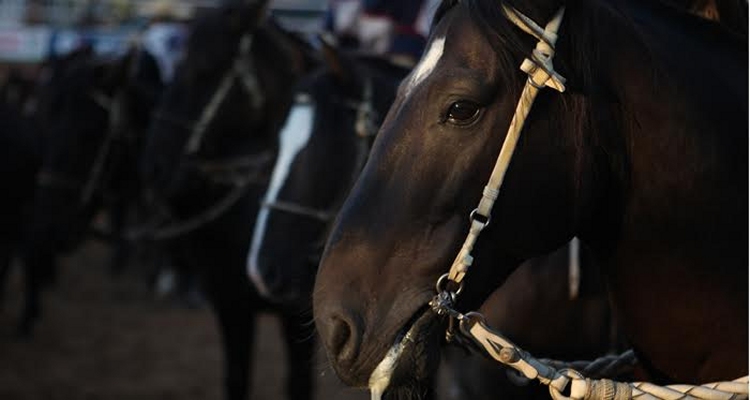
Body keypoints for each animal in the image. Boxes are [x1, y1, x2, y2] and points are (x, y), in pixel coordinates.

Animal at [141, 1, 320, 398]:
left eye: (205, 67)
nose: (154, 165)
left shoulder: (298, 318)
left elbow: (299, 384)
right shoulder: (230, 304)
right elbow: (236, 379)